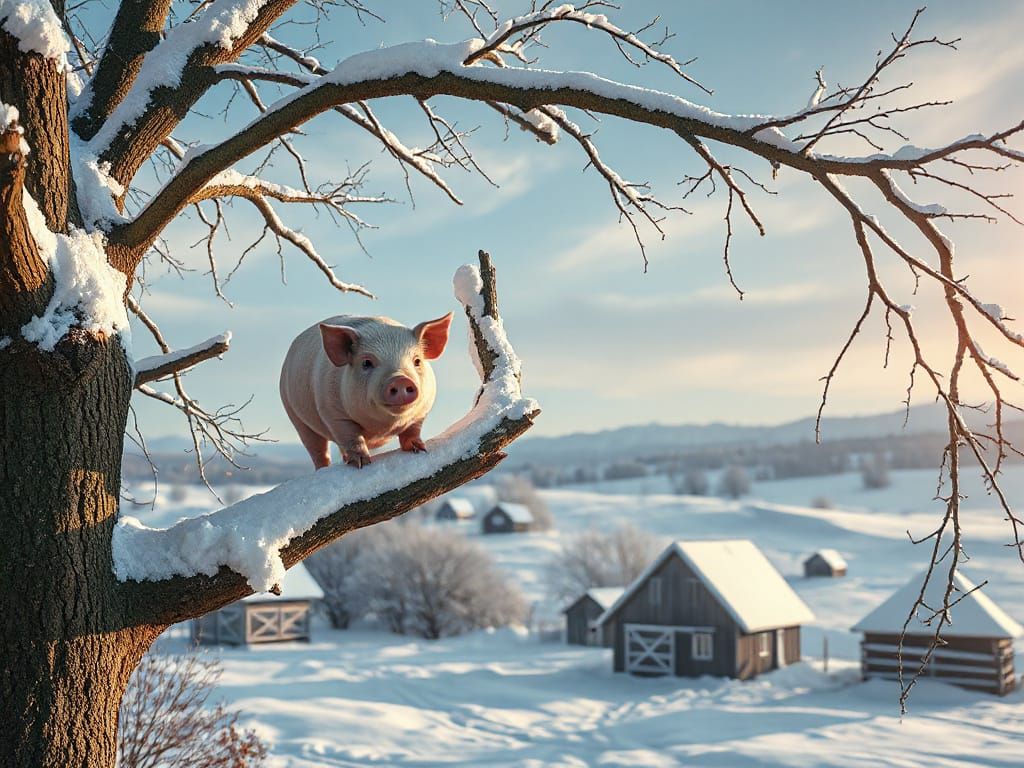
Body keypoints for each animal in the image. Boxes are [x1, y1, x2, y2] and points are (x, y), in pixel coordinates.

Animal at [280, 312, 453, 469]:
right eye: (366, 363)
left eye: (417, 361)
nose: (400, 379)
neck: (382, 428)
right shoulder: (333, 413)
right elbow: (351, 437)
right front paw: (361, 463)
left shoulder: (422, 411)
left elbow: (413, 430)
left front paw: (420, 449)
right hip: (296, 416)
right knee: (318, 450)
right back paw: (325, 468)